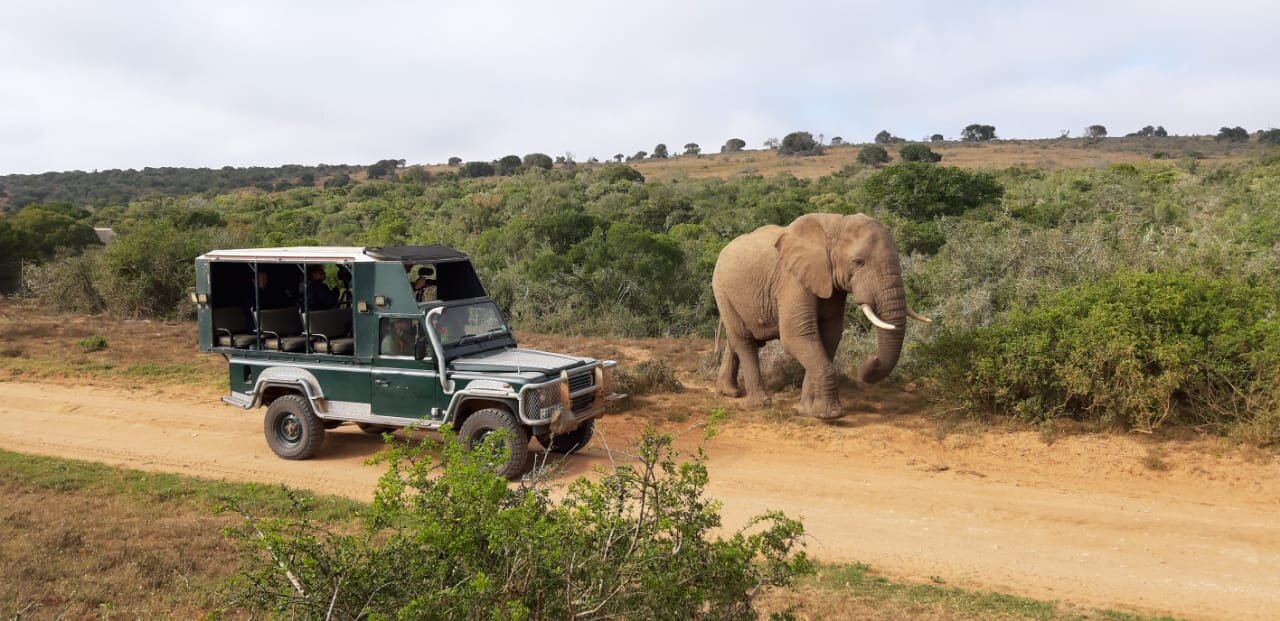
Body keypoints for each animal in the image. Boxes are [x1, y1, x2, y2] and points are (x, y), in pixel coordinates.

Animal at [711, 212, 929, 420]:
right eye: (858, 263)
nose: (869, 362)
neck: (835, 224)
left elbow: (829, 337)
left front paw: (807, 411)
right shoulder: (792, 279)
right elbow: (796, 337)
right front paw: (831, 415)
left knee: (737, 340)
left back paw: (729, 392)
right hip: (722, 290)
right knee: (744, 341)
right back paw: (759, 404)